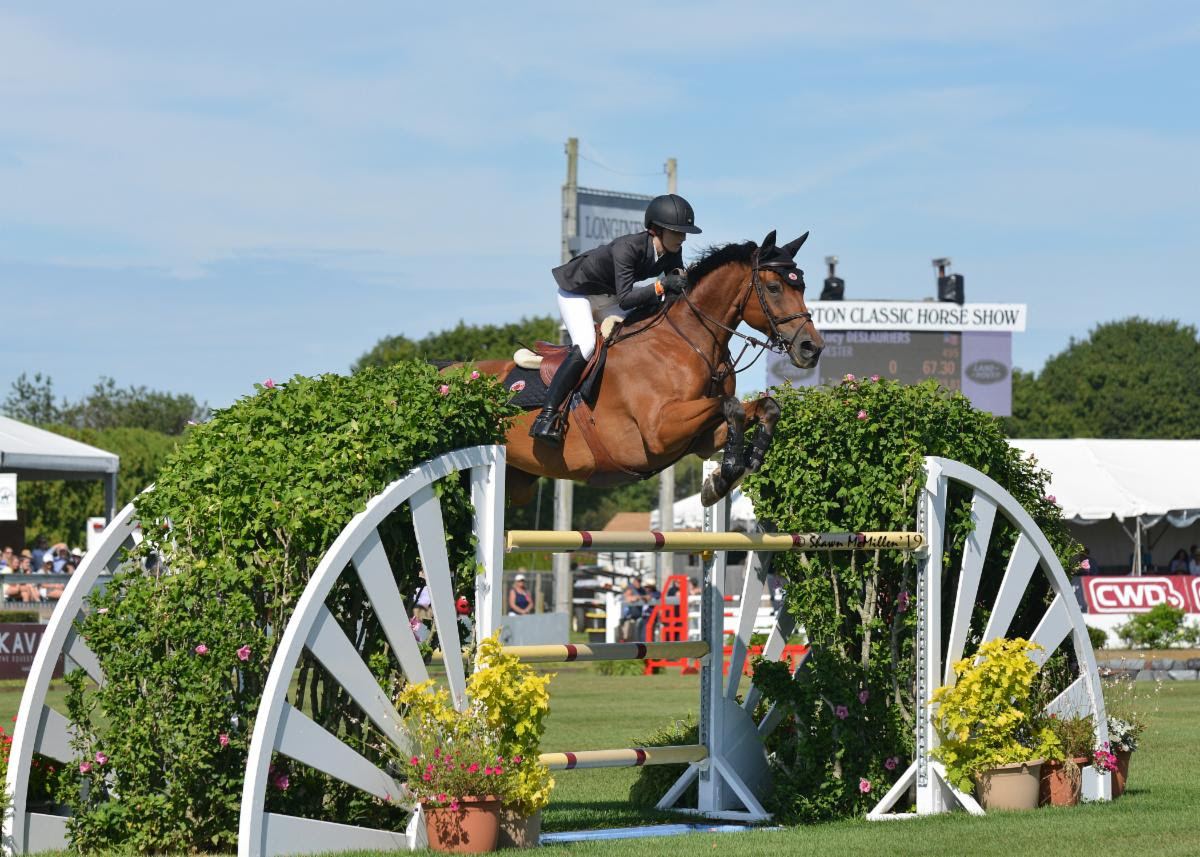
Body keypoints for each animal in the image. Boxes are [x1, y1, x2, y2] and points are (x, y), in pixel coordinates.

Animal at [472, 230, 820, 504]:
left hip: (516, 480)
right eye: (774, 288)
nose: (812, 348)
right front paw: (729, 471)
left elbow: (765, 407)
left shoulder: (703, 438)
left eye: (802, 286)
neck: (690, 341)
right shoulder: (659, 431)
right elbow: (730, 404)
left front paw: (742, 465)